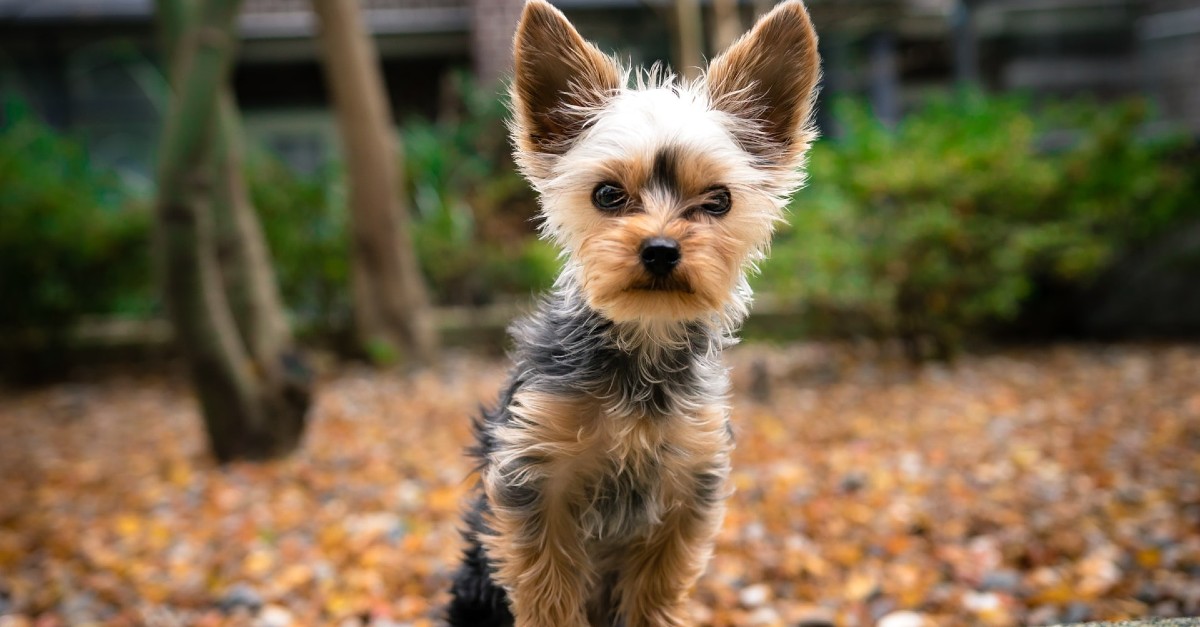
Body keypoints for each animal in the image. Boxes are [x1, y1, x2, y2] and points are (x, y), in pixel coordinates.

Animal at [446, 2, 820, 619]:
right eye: (607, 195)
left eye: (719, 200)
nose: (661, 249)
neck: (644, 340)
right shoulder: (535, 481)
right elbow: (548, 592)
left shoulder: (687, 490)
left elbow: (654, 593)